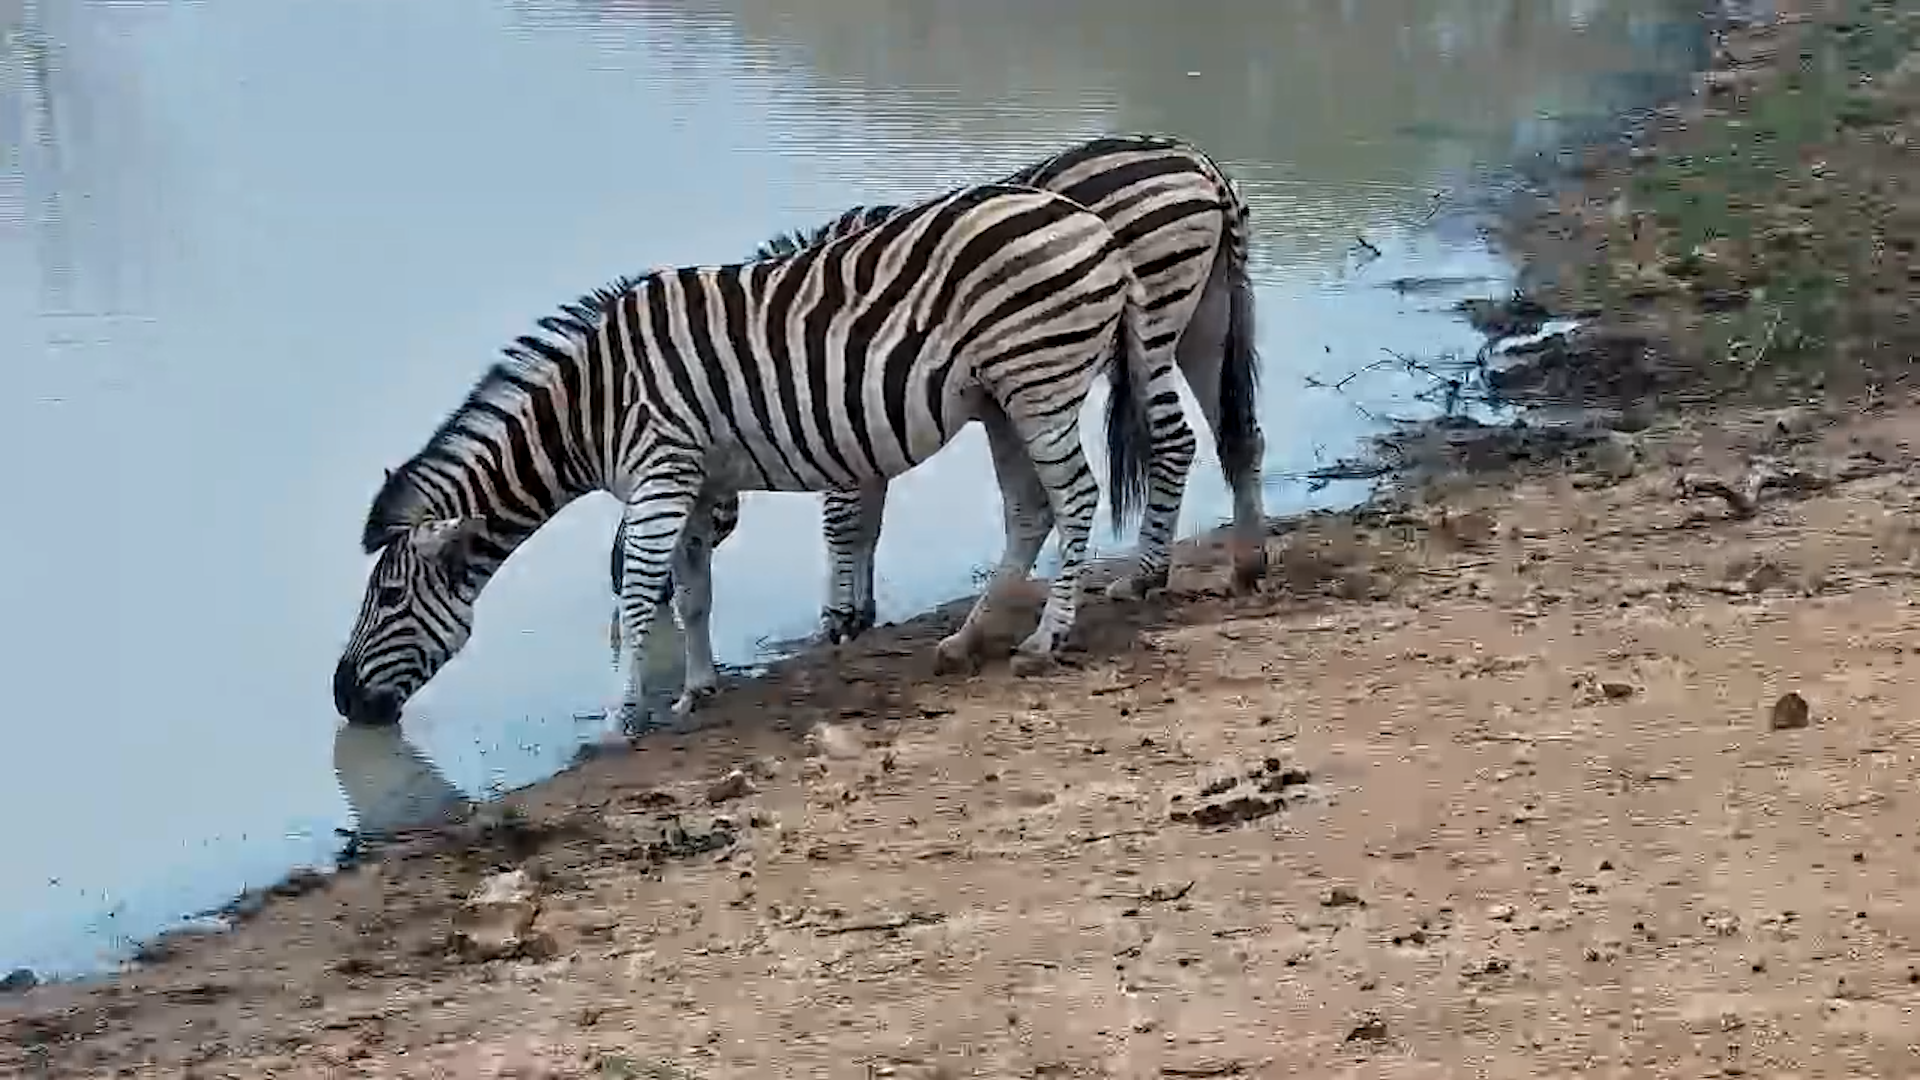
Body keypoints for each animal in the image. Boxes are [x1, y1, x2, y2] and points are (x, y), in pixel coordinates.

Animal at [332, 181, 1197, 727]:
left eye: (388, 598)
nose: (341, 700)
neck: (588, 407)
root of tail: (1094, 227)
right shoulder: (690, 478)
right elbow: (692, 593)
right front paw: (697, 690)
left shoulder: (661, 471)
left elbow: (640, 598)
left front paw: (622, 714)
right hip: (1002, 398)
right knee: (1029, 510)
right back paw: (967, 640)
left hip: (1039, 379)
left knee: (1075, 497)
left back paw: (1048, 639)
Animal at [612, 133, 1266, 660]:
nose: (629, 582)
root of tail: (1198, 162)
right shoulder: (856, 410)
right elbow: (867, 520)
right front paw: (858, 611)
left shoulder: (842, 397)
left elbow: (842, 522)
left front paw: (839, 618)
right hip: (1205, 320)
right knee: (1239, 433)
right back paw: (1246, 562)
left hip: (1154, 321)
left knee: (1174, 441)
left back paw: (1148, 574)